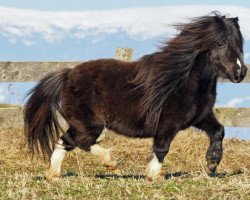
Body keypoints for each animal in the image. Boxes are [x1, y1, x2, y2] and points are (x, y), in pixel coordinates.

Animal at [24, 13, 247, 180]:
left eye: (239, 43)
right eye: (220, 43)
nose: (240, 72)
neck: (183, 81)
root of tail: (68, 73)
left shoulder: (200, 116)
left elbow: (218, 131)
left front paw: (212, 163)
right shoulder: (168, 122)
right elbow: (162, 147)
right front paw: (154, 175)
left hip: (82, 123)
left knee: (65, 141)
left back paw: (54, 175)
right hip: (89, 124)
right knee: (80, 141)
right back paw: (112, 164)